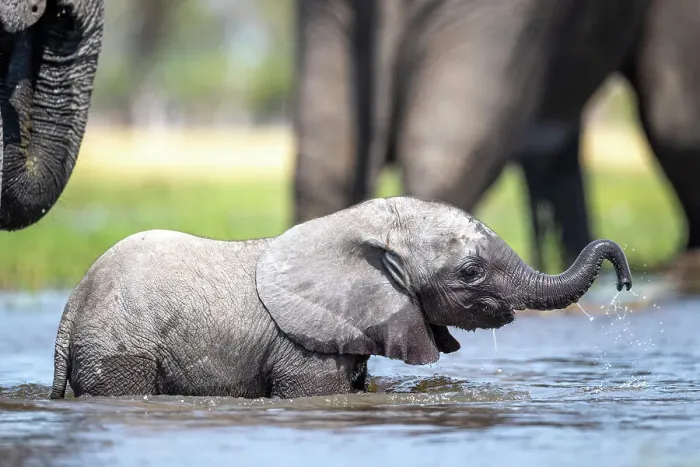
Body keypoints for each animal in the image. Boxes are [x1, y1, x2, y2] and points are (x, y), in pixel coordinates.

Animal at [49, 196, 633, 400]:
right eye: (470, 272)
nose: (625, 279)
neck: (360, 225)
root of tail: (73, 304)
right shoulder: (303, 348)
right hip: (120, 348)